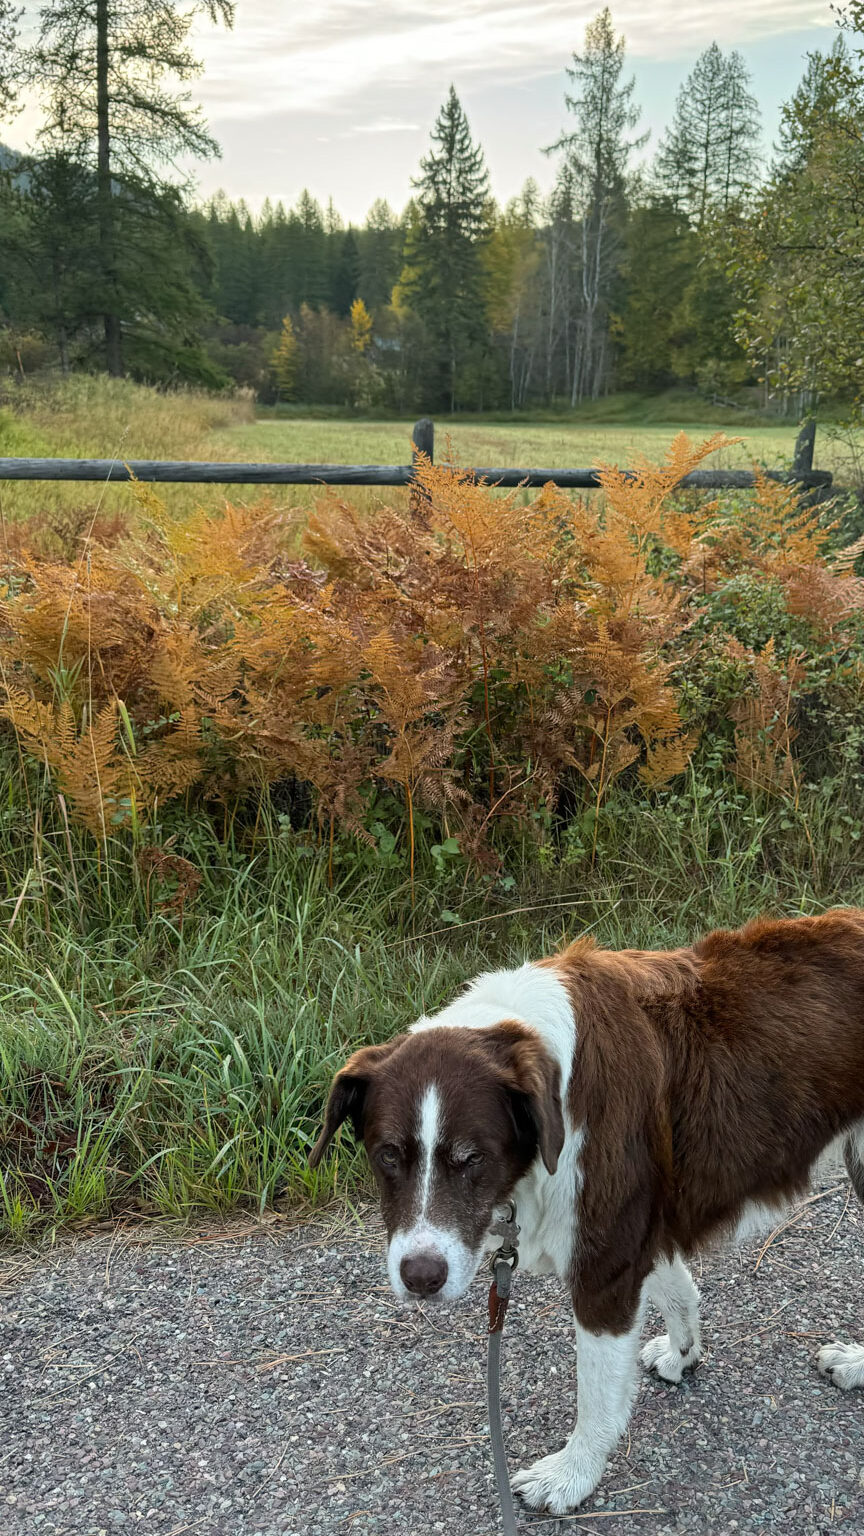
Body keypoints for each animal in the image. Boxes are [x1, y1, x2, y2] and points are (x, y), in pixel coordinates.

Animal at [312, 909, 860, 1511]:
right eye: (387, 1154)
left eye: (473, 1158)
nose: (421, 1278)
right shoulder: (637, 1227)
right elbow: (677, 1288)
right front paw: (684, 1351)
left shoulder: (606, 1264)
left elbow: (597, 1397)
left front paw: (571, 1476)